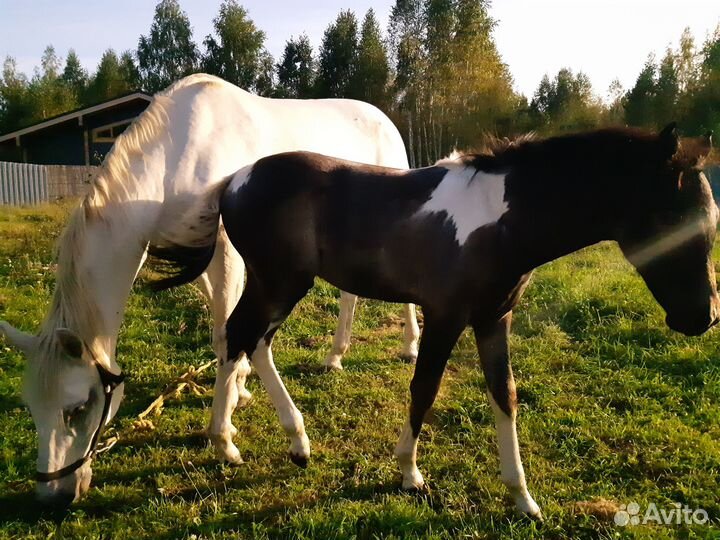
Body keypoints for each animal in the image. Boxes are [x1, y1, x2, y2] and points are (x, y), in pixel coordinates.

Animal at [0, 73, 420, 506]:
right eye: (31, 408)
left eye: (78, 406)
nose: (52, 495)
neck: (174, 157)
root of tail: (381, 117)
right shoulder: (197, 253)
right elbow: (228, 333)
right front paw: (242, 388)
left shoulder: (226, 250)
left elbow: (224, 333)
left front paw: (226, 430)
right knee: (348, 296)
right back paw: (335, 355)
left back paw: (409, 345)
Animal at [150, 123, 718, 519]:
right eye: (674, 219)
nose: (703, 318)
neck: (502, 220)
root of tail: (235, 179)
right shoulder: (445, 317)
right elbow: (424, 388)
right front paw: (409, 472)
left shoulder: (494, 320)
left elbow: (505, 395)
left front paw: (522, 498)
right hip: (278, 282)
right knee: (238, 337)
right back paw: (225, 443)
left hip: (285, 285)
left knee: (255, 342)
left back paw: (295, 442)